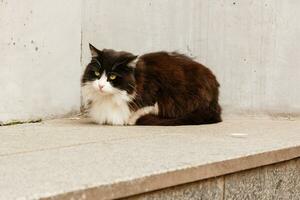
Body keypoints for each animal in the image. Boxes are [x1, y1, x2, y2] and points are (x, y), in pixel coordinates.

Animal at [81, 44, 221, 126]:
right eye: (97, 73)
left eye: (112, 76)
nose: (100, 86)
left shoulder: (157, 91)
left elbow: (148, 107)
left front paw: (131, 119)